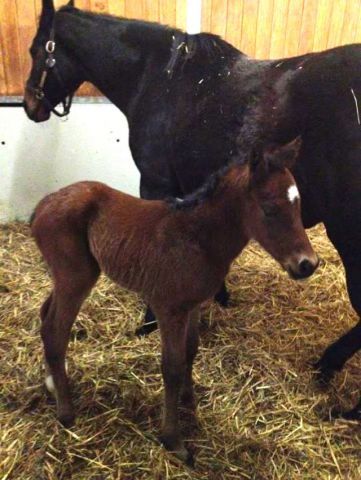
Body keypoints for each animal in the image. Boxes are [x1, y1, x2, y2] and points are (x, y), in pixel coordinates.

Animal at [31, 137, 318, 466]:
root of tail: (43, 205)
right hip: (76, 278)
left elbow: (191, 352)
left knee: (45, 316)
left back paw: (51, 386)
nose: (308, 264)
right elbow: (172, 366)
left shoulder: (193, 306)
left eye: (298, 204)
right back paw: (66, 412)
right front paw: (174, 441)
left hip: (65, 277)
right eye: (270, 208)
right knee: (55, 331)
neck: (198, 238)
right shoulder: (168, 309)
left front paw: (190, 403)